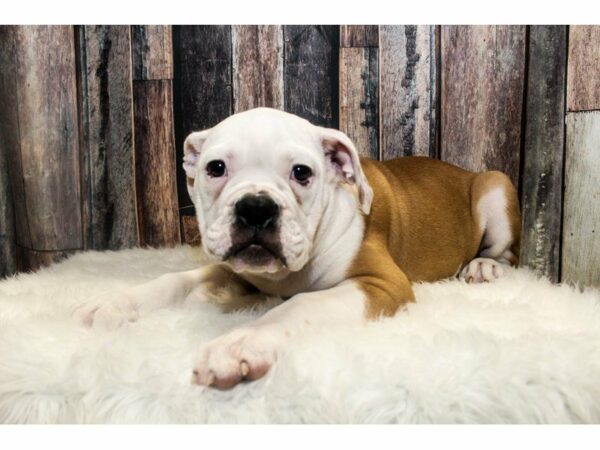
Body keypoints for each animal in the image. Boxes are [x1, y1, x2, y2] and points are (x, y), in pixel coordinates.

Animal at [77, 107, 521, 390]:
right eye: (215, 168)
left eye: (302, 173)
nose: (256, 207)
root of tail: (464, 171)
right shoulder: (233, 268)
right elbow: (176, 279)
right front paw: (114, 303)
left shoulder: (381, 283)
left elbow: (301, 304)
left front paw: (241, 343)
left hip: (495, 186)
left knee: (507, 254)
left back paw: (482, 266)